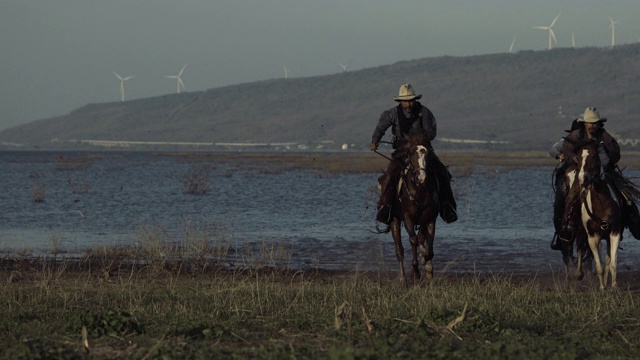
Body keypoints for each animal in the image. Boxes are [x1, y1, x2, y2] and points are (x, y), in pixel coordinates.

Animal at [376, 132, 440, 286]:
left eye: (428, 153)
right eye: (411, 153)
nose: (422, 177)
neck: (420, 190)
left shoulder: (430, 219)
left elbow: (429, 248)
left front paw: (426, 265)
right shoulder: (407, 217)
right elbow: (413, 240)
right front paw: (416, 273)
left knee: (420, 239)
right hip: (394, 220)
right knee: (399, 250)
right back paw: (403, 279)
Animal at [564, 141, 624, 290]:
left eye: (594, 156)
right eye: (578, 158)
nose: (582, 180)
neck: (602, 204)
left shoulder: (615, 233)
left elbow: (612, 263)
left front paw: (613, 286)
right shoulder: (592, 237)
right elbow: (599, 266)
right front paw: (602, 287)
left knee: (607, 258)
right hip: (581, 232)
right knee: (580, 249)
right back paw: (579, 274)